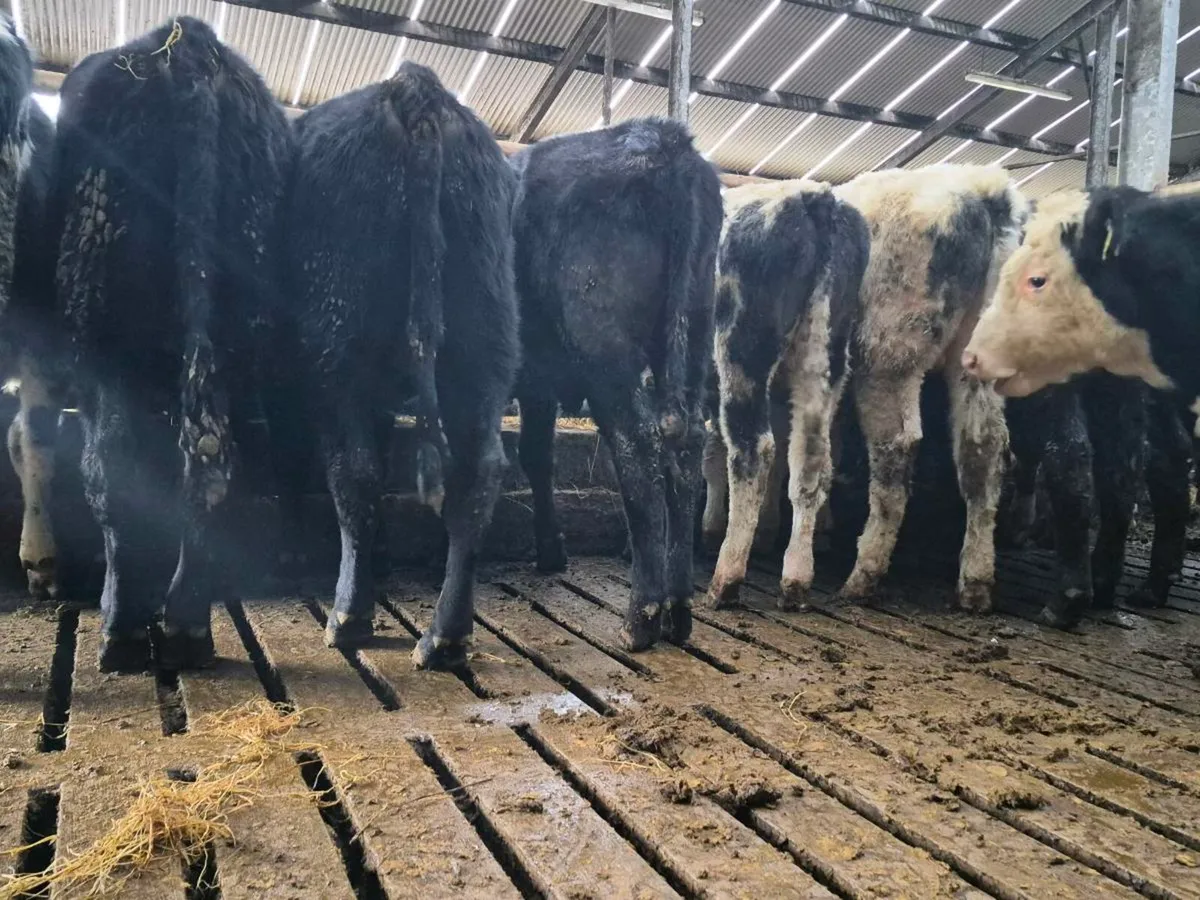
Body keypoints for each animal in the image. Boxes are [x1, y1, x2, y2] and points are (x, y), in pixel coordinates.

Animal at [39, 18, 293, 672]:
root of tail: (189, 48)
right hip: (238, 335)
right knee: (221, 472)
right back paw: (187, 626)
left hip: (106, 341)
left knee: (113, 470)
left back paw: (123, 628)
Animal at [280, 63, 519, 670]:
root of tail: (415, 89)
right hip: (484, 344)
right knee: (478, 473)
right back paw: (445, 636)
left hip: (336, 346)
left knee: (354, 472)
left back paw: (348, 617)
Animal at [510, 118, 721, 652]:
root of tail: (662, 138)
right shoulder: (537, 382)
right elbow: (536, 457)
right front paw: (551, 551)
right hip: (692, 337)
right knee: (685, 448)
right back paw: (677, 608)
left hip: (605, 349)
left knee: (639, 448)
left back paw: (640, 617)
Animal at [702, 180, 869, 610]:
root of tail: (817, 196)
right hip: (823, 360)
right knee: (811, 460)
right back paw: (795, 578)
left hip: (740, 349)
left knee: (753, 451)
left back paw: (726, 578)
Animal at [831, 165, 1028, 611]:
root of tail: (984, 188)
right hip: (977, 358)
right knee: (984, 450)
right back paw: (975, 582)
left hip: (888, 350)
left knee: (897, 448)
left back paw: (863, 574)